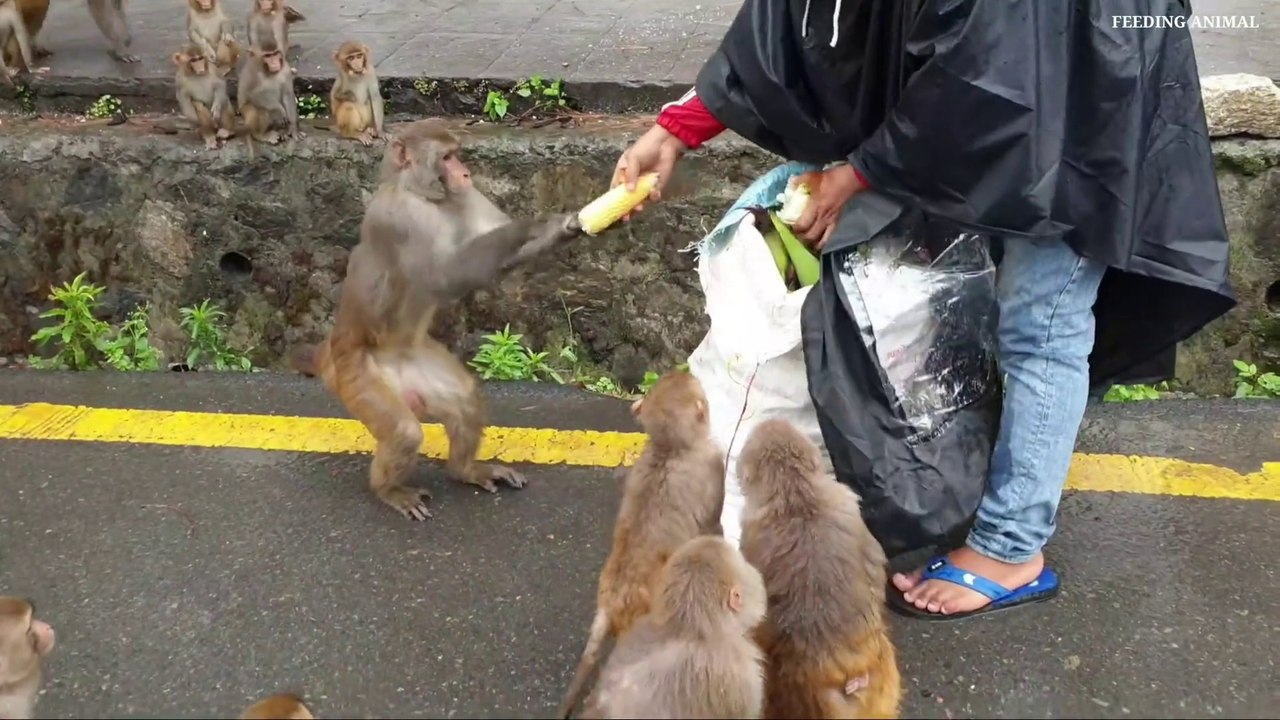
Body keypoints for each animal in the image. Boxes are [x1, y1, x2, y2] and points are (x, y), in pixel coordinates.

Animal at [287, 119, 585, 521]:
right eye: (446, 157)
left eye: (457, 154)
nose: (464, 172)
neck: (425, 196)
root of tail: (330, 348)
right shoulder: (400, 218)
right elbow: (443, 276)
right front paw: (533, 224)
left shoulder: (465, 196)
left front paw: (566, 227)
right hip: (355, 376)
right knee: (403, 432)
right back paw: (389, 490)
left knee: (464, 399)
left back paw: (465, 470)